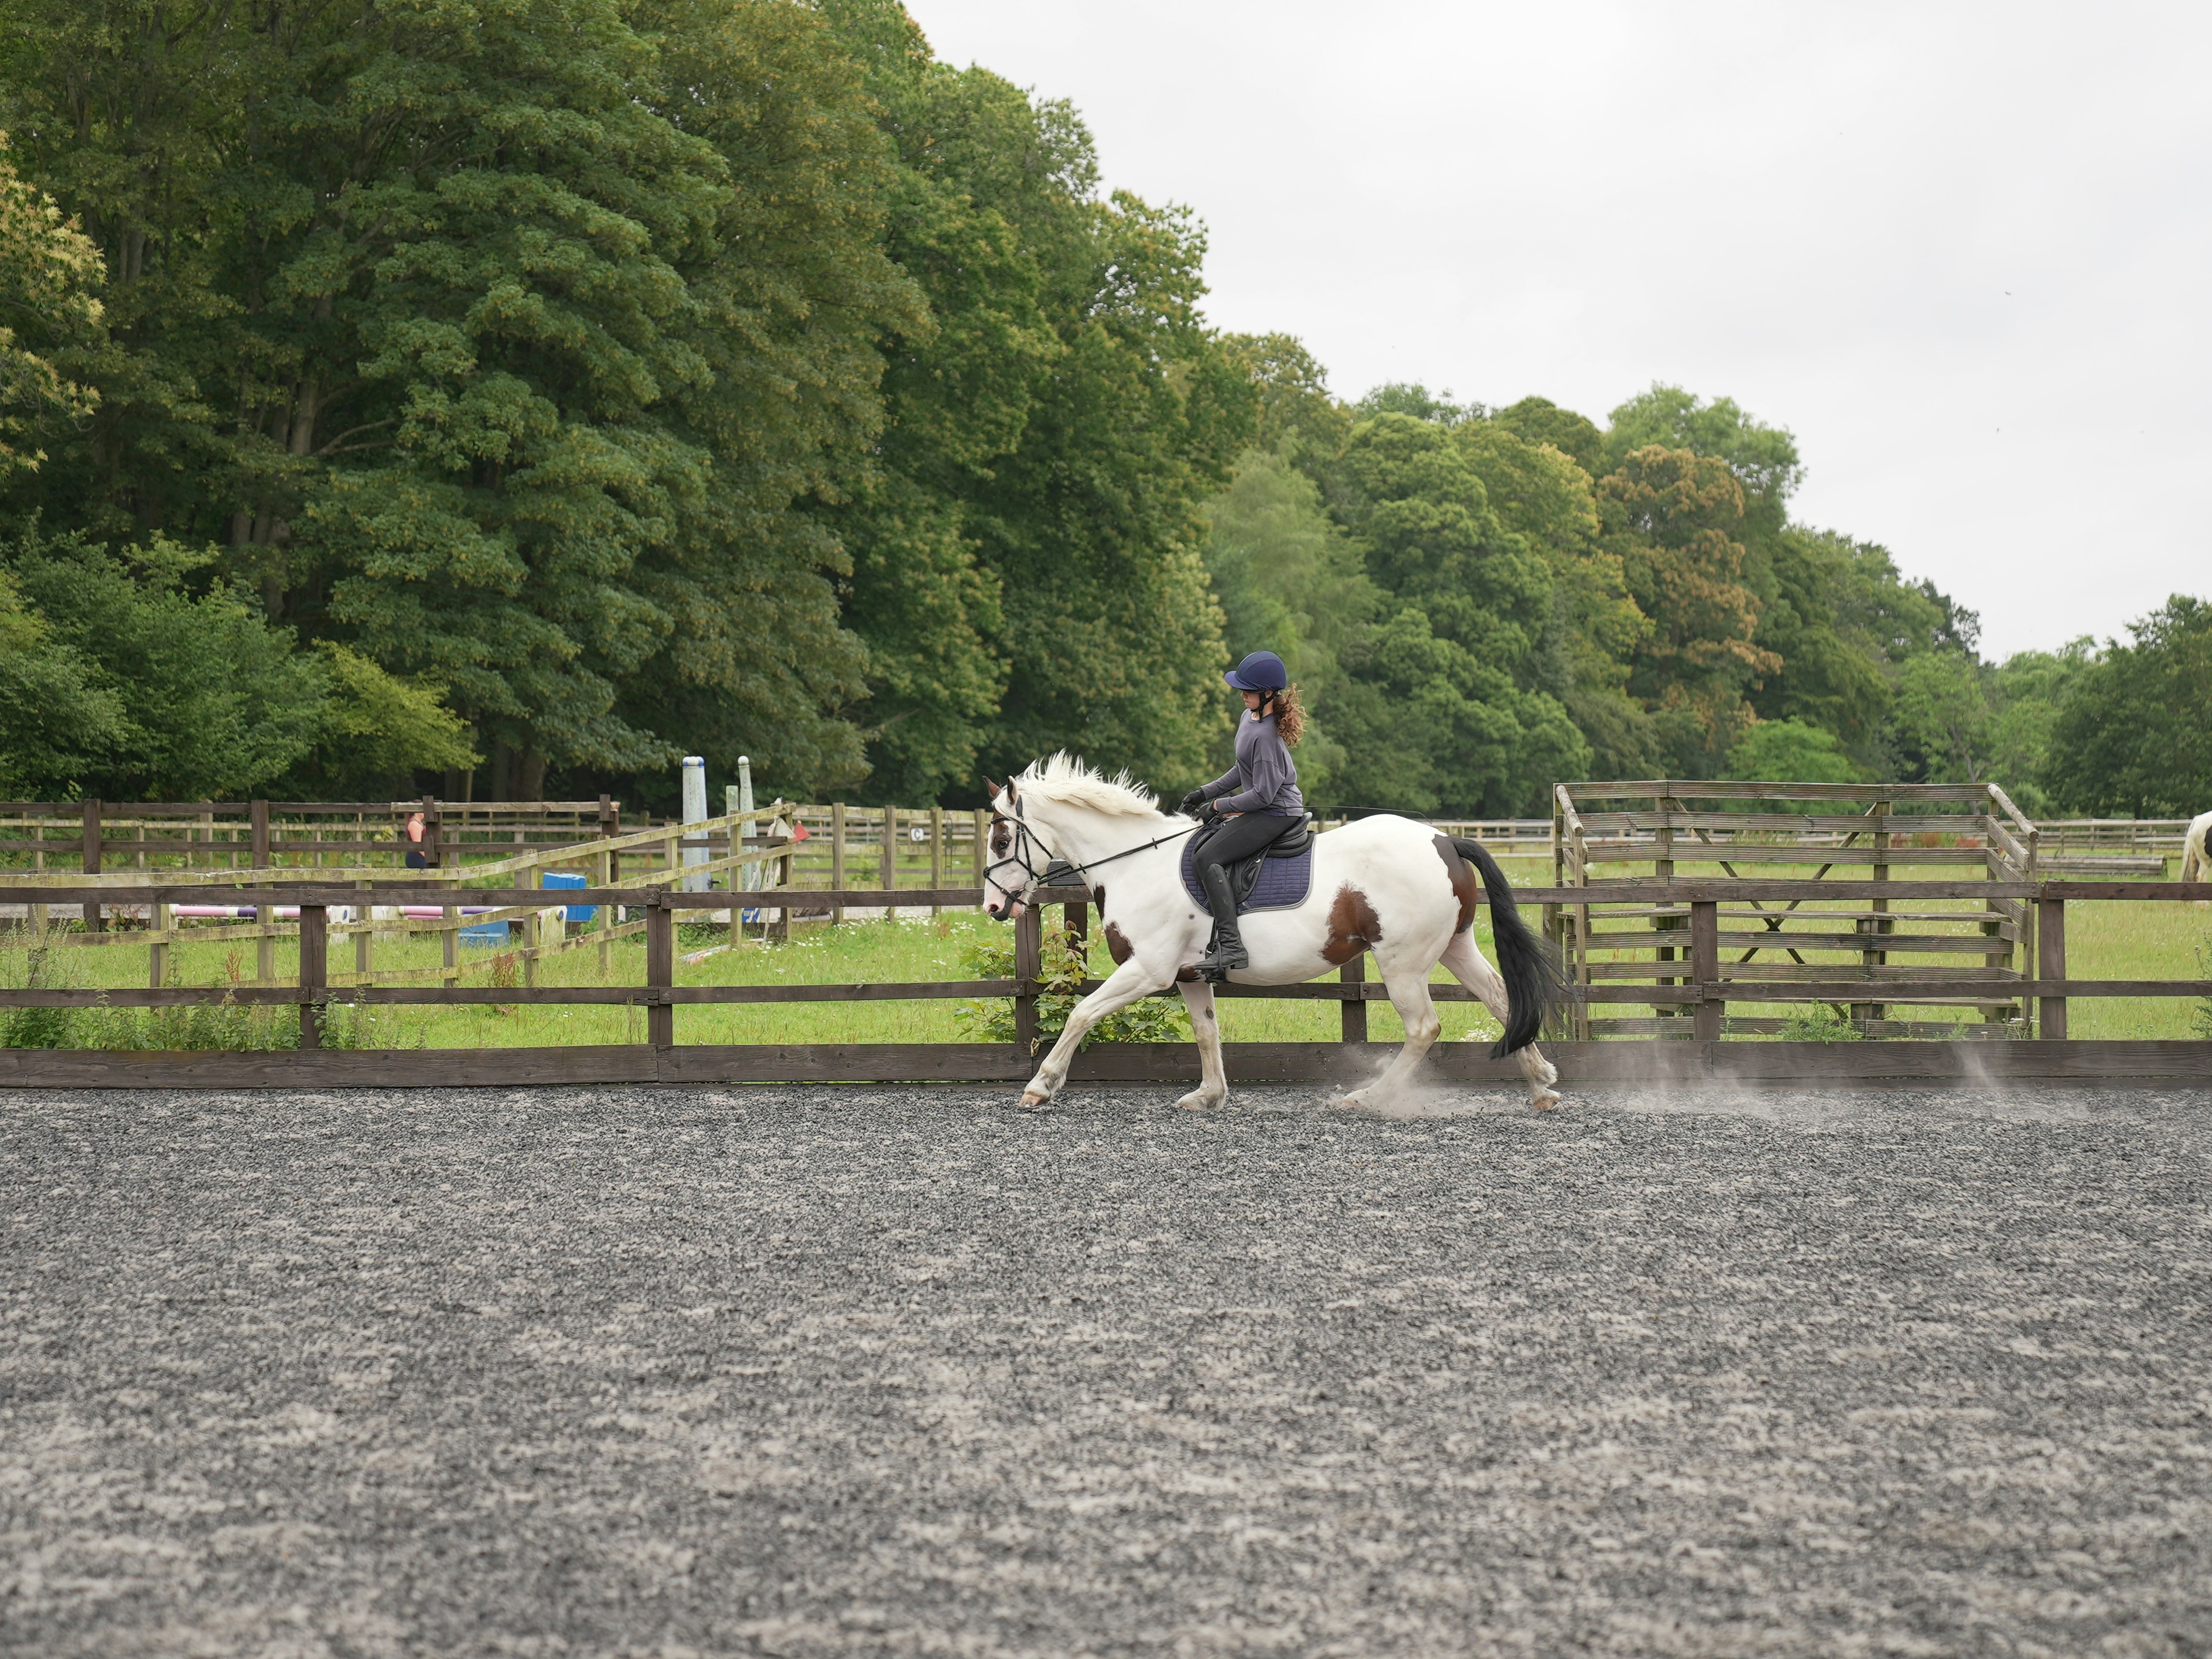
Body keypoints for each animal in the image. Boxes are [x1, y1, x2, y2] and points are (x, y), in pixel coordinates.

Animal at [980, 754, 1563, 1114]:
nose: (992, 907)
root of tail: (1444, 840)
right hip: (1454, 947)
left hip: (1403, 963)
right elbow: (1207, 1033)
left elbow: (1081, 1012)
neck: (1135, 863)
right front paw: (1209, 1096)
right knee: (1500, 999)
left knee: (1424, 1028)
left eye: (1003, 839)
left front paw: (1040, 1086)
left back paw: (1368, 1098)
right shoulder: (1189, 975)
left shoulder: (1148, 970)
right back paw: (1541, 1085)